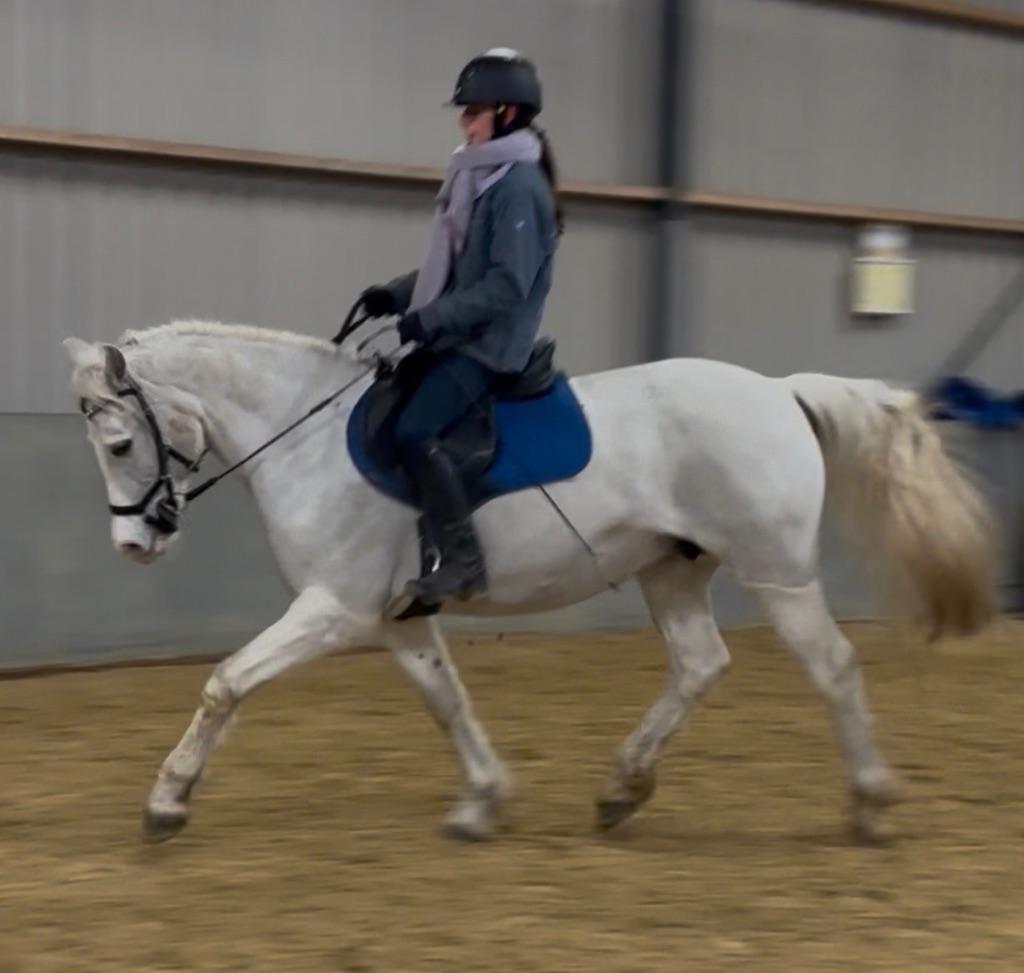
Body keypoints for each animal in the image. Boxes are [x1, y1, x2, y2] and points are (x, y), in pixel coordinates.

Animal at [62, 320, 998, 844]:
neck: (305, 436)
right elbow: (448, 700)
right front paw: (482, 801)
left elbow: (226, 682)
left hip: (778, 573)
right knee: (700, 664)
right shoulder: (398, 616)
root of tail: (779, 391)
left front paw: (167, 802)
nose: (133, 542)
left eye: (119, 443)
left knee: (832, 667)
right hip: (671, 569)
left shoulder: (334, 608)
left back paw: (870, 804)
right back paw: (621, 789)